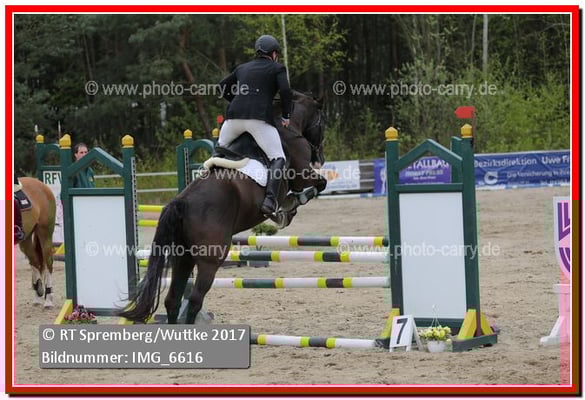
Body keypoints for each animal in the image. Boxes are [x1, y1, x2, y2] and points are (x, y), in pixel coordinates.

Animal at [16, 177, 57, 308]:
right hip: (25, 240)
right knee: (35, 262)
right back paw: (38, 295)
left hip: (45, 233)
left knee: (48, 262)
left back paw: (48, 299)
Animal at [120, 91, 327, 324]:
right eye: (323, 123)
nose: (320, 158)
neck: (288, 128)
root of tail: (181, 202)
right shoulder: (301, 175)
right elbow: (319, 185)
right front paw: (288, 209)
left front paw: (284, 212)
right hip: (210, 259)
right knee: (195, 300)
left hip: (183, 256)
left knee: (173, 300)